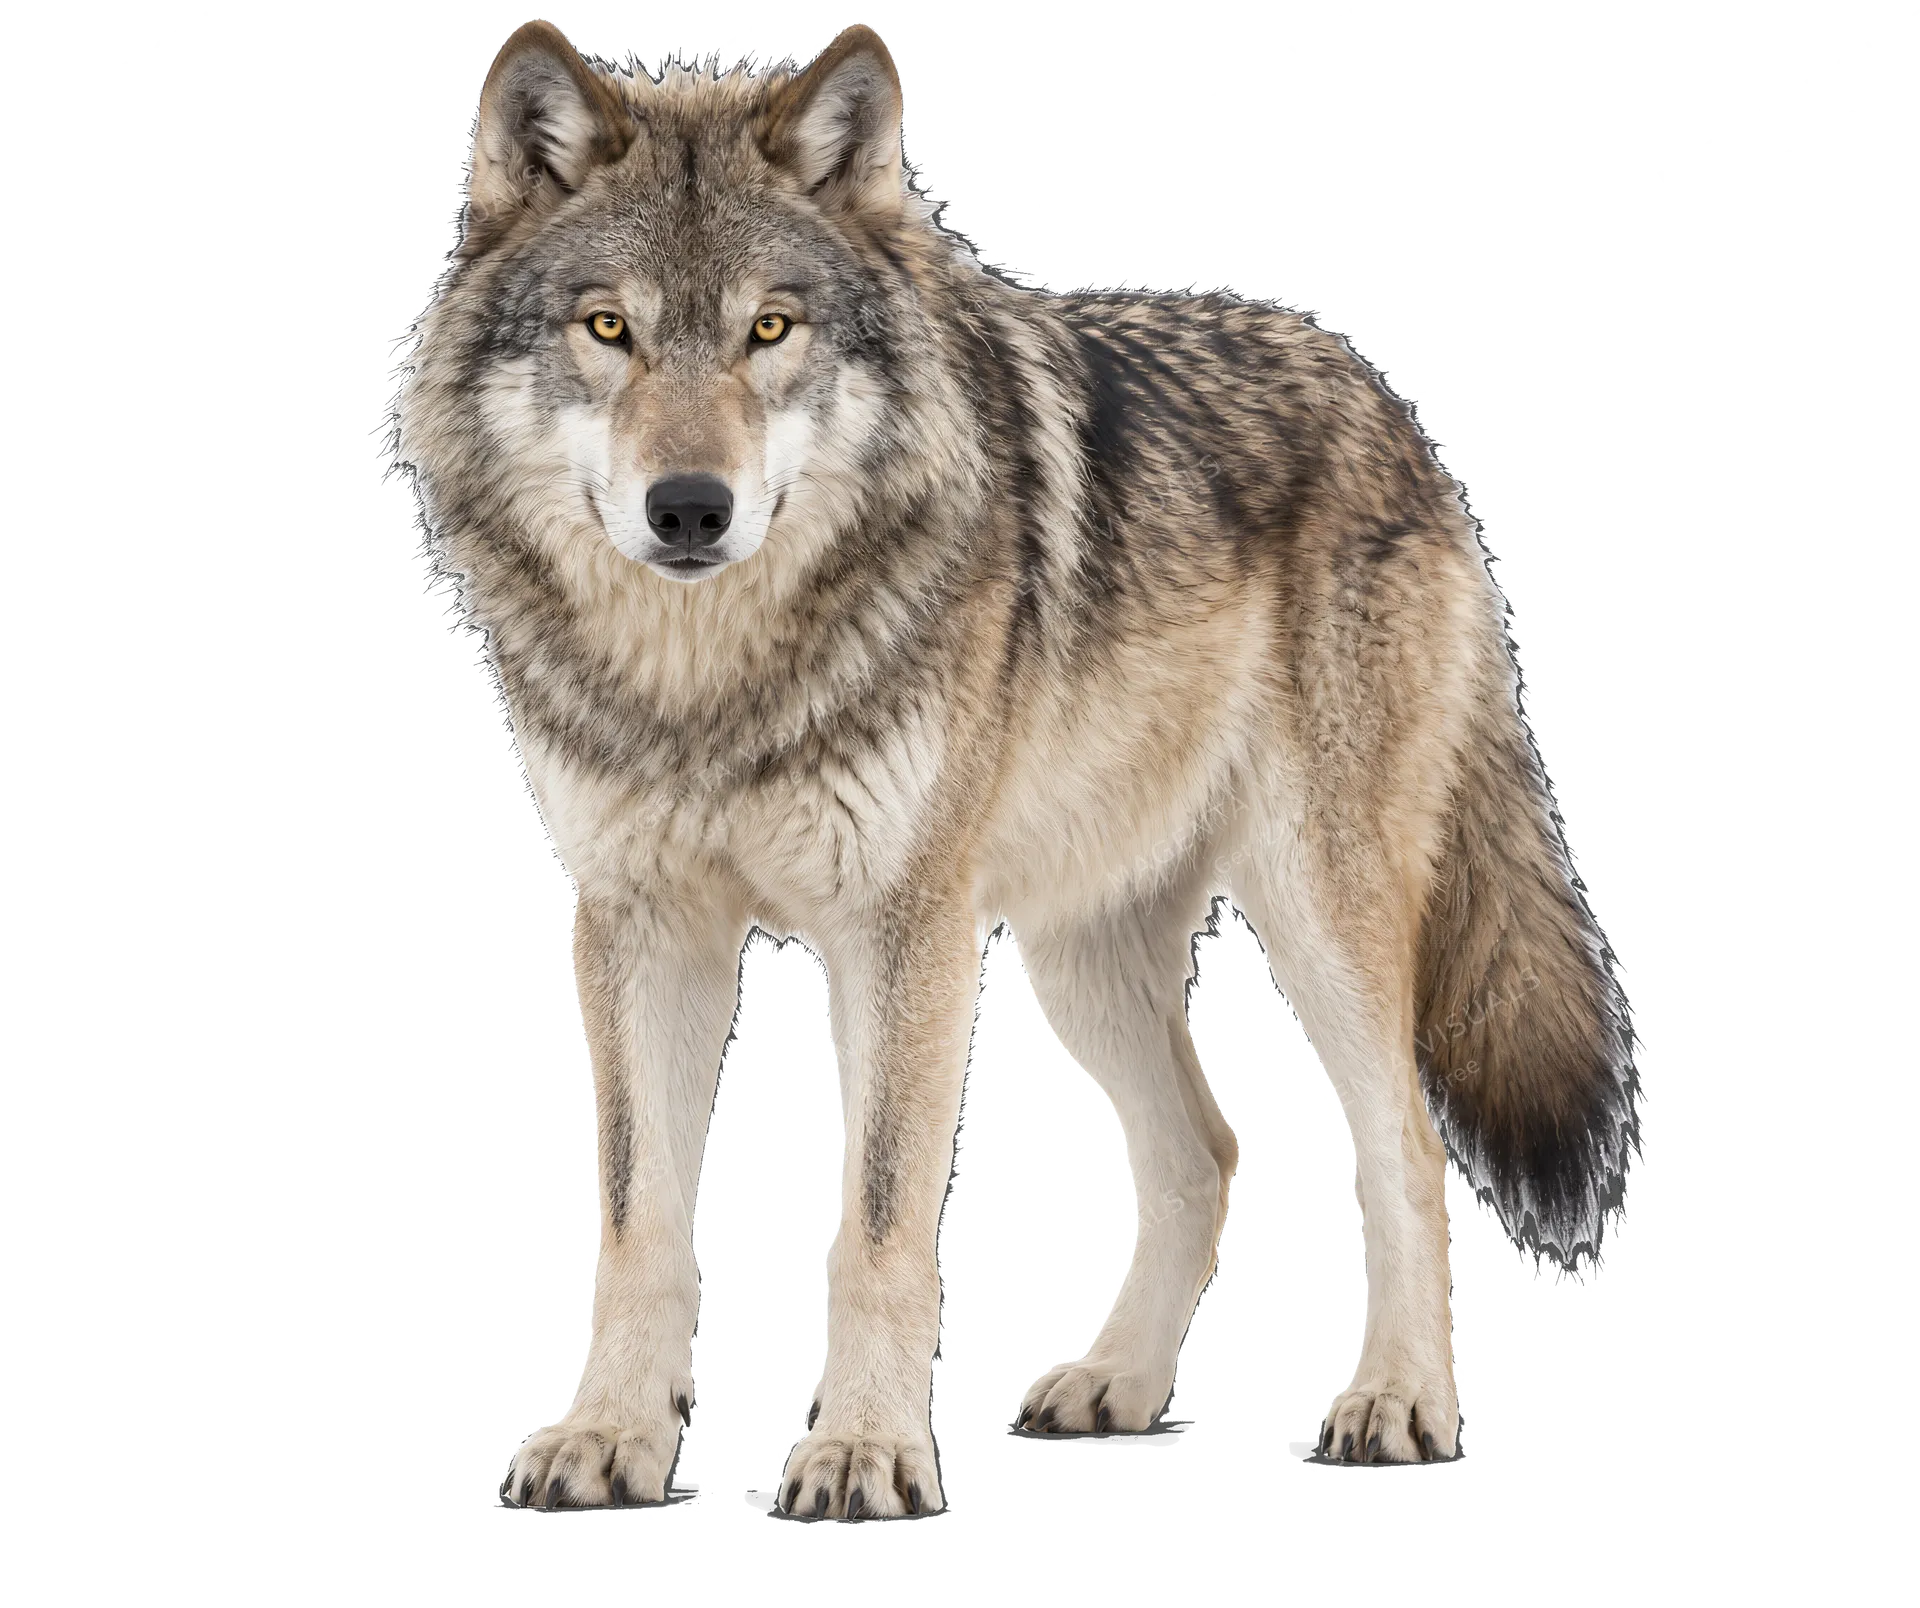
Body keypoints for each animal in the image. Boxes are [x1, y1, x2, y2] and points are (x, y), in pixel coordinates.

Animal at [390, 19, 1638, 1516]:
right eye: (608, 328)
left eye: (770, 328)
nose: (689, 509)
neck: (710, 682)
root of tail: (1382, 398)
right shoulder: (640, 928)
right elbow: (637, 1220)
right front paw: (609, 1436)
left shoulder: (905, 931)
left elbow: (874, 1226)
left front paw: (863, 1454)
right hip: (1076, 959)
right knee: (1205, 1148)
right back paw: (1118, 1388)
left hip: (1314, 915)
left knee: (1401, 1143)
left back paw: (1398, 1401)